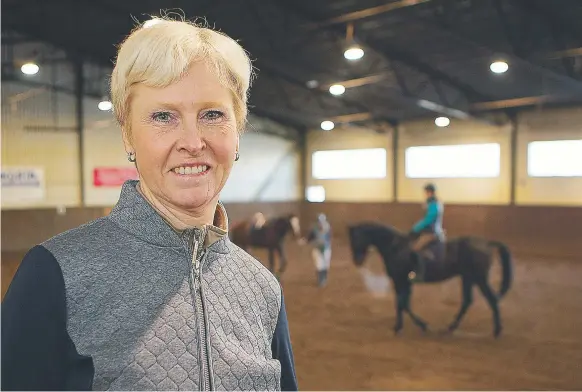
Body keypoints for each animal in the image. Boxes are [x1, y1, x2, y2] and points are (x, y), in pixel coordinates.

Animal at [350, 222, 512, 338]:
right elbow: (403, 304)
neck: (395, 248)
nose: (357, 262)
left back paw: (497, 331)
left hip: (480, 278)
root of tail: (487, 243)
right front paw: (402, 326)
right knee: (467, 301)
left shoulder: (400, 281)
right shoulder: (403, 282)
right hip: (468, 277)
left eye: (356, 239)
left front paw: (415, 326)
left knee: (491, 299)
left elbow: (403, 304)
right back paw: (451, 327)